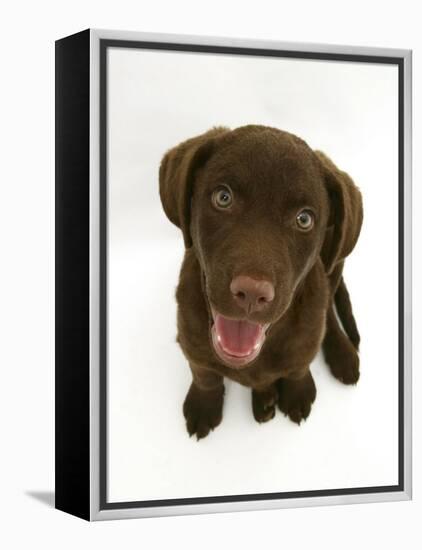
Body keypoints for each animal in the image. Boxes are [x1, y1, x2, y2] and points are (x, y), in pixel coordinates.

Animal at [158, 125, 362, 440]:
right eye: (223, 197)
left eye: (304, 219)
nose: (252, 293)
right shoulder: (190, 340)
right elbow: (204, 373)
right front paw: (204, 405)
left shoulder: (304, 341)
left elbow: (298, 366)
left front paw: (298, 392)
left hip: (335, 262)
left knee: (328, 307)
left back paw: (342, 354)